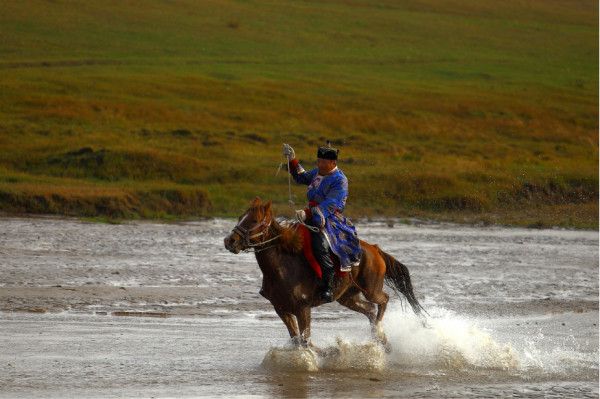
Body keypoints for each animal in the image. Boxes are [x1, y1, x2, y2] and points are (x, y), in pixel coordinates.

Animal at [223, 198, 424, 352]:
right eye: (240, 218)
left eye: (254, 221)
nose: (229, 241)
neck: (281, 268)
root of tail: (375, 249)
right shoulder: (281, 309)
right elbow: (296, 340)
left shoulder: (303, 308)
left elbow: (305, 340)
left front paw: (325, 353)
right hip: (347, 297)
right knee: (369, 310)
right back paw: (379, 339)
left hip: (371, 290)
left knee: (383, 300)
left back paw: (380, 332)